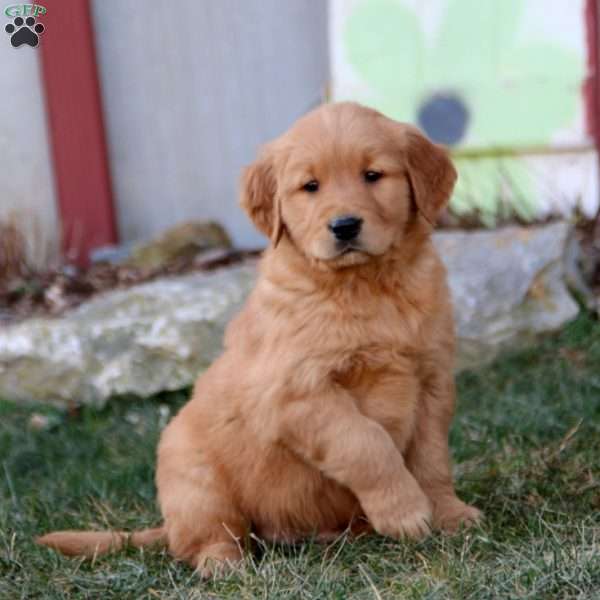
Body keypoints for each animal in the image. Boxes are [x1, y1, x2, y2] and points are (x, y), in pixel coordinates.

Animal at [37, 102, 480, 576]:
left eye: (373, 175)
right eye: (310, 186)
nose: (344, 226)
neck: (365, 285)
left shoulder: (432, 380)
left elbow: (432, 459)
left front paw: (448, 513)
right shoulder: (296, 394)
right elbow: (366, 442)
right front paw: (404, 512)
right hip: (192, 476)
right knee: (205, 537)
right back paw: (223, 563)